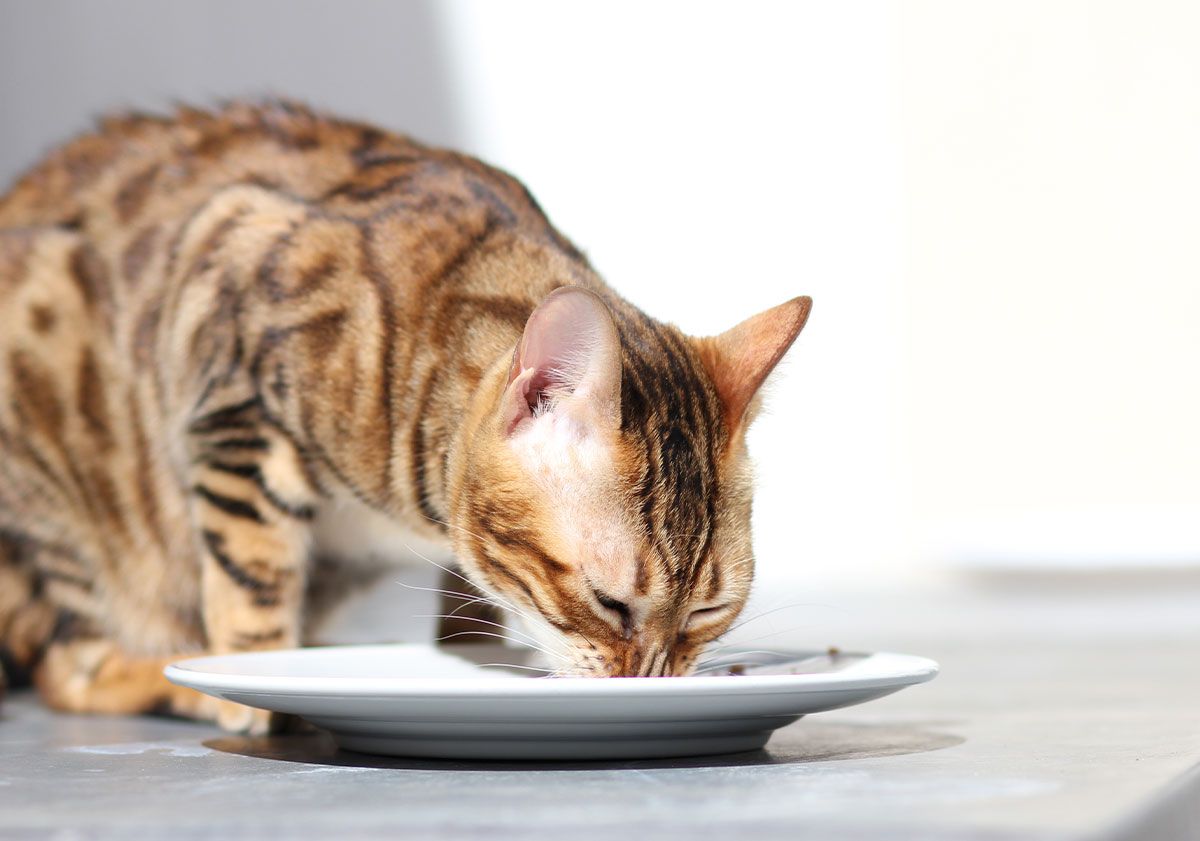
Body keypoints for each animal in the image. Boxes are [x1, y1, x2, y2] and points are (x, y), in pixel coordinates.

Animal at [0, 100, 811, 729]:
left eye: (708, 612)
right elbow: (252, 578)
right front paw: (257, 682)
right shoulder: (231, 347)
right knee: (71, 668)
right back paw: (185, 676)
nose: (646, 684)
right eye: (609, 603)